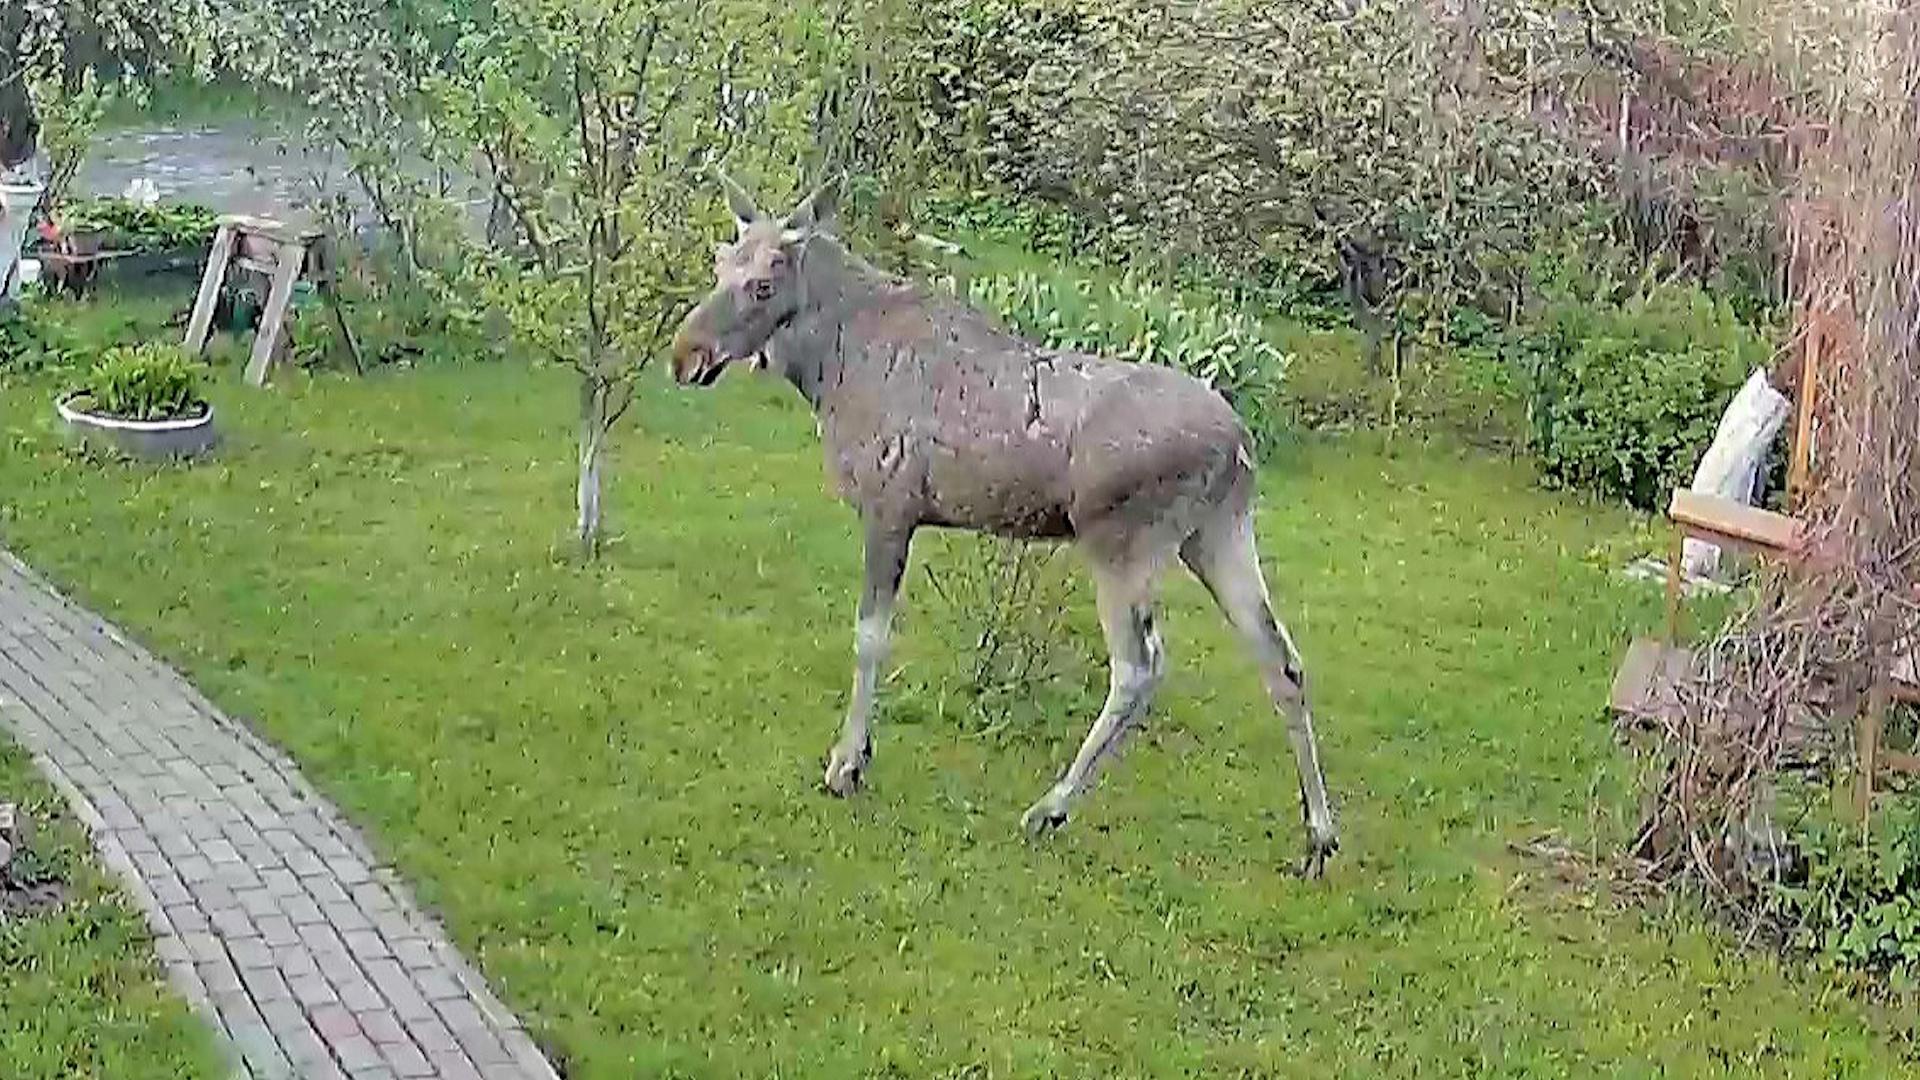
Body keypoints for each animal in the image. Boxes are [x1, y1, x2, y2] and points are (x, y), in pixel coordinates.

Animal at [672, 170, 1336, 876]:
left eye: (762, 284)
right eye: (720, 263)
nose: (685, 356)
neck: (825, 367)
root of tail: (1240, 442)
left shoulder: (889, 508)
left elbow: (869, 637)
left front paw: (846, 764)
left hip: (1124, 543)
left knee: (1139, 667)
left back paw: (1051, 808)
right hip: (1217, 534)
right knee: (1280, 657)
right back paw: (1319, 836)